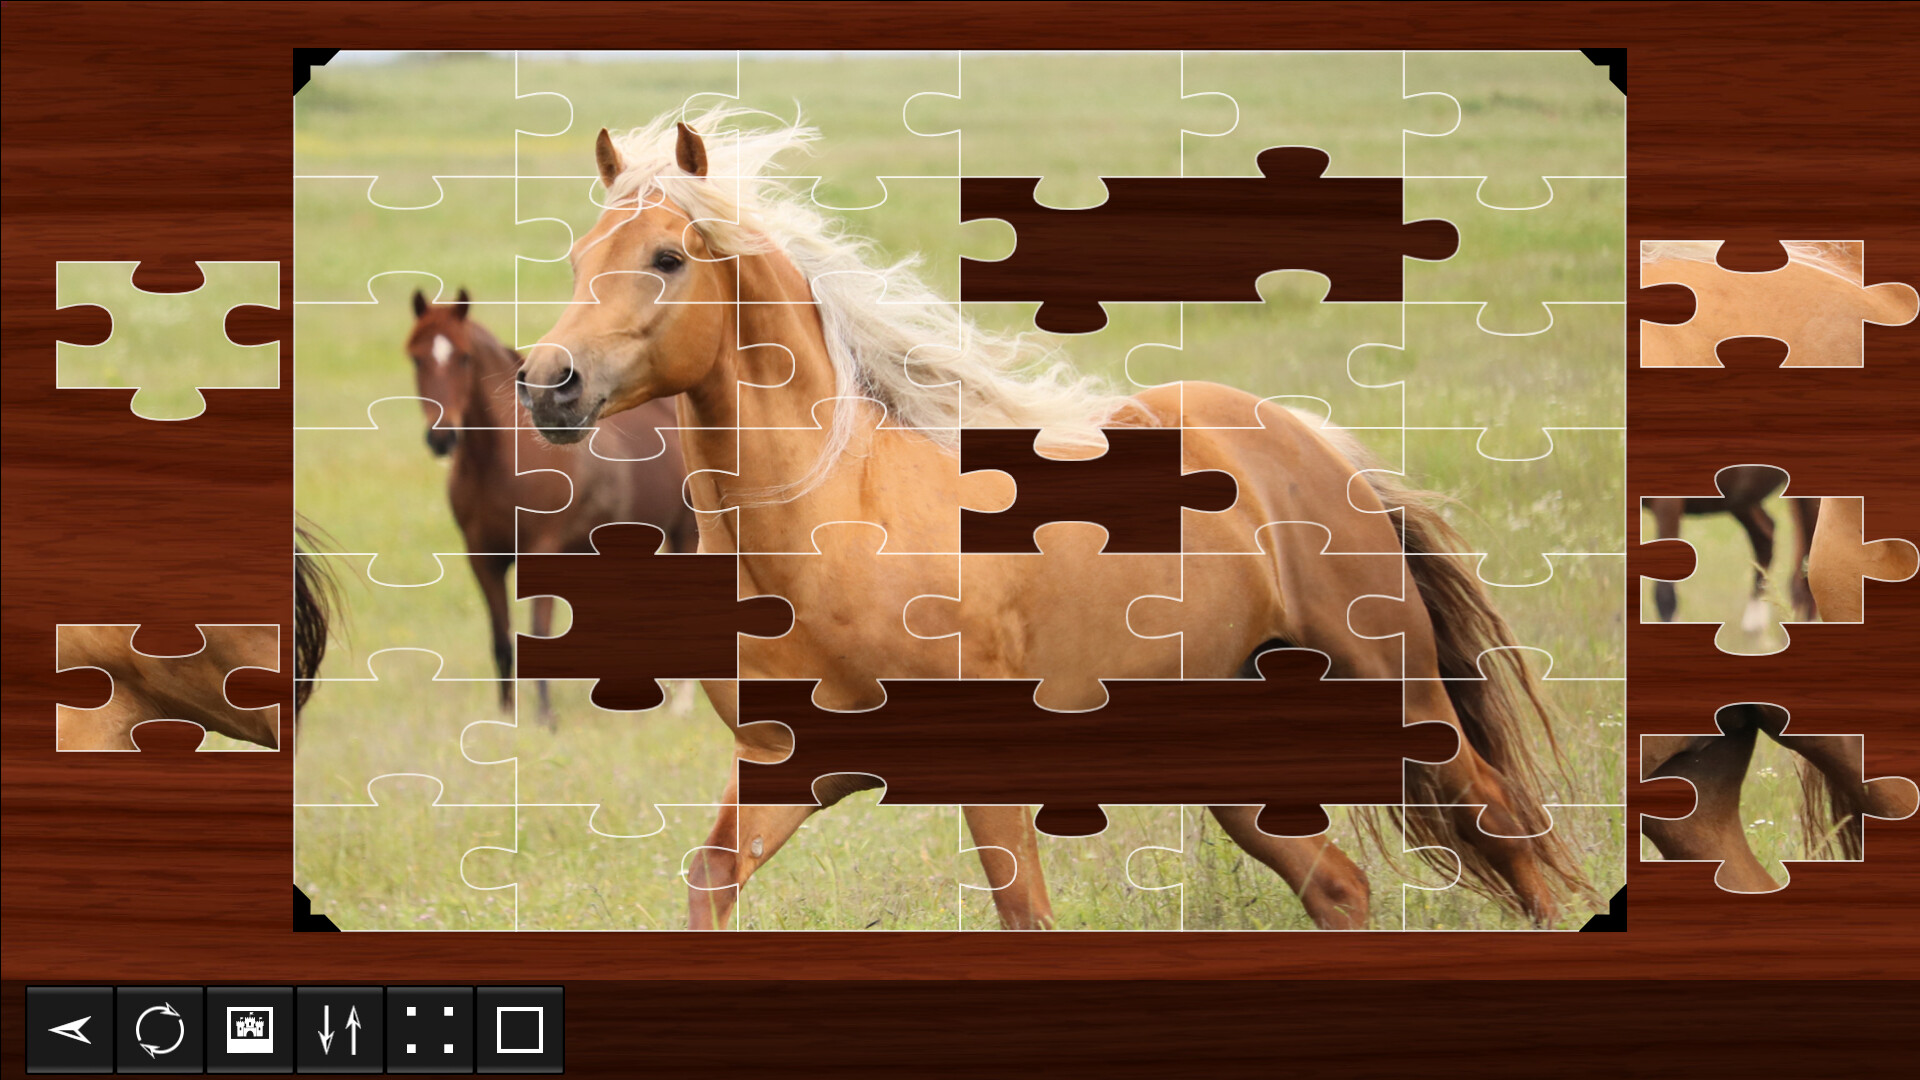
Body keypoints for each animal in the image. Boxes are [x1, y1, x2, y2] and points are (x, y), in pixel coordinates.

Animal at [405, 289, 698, 724]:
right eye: (416, 358)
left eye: (464, 357)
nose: (442, 437)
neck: (503, 458)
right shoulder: (483, 557)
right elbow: (501, 640)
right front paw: (505, 715)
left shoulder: (540, 550)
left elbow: (538, 632)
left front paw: (545, 717)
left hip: (687, 533)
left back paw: (682, 705)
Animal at [515, 110, 1592, 929]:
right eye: (577, 257)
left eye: (666, 257)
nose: (545, 383)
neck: (833, 526)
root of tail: (1313, 445)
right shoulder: (785, 771)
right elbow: (710, 882)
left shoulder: (986, 778)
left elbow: (1025, 914)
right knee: (1340, 886)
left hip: (1400, 692)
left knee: (1505, 825)